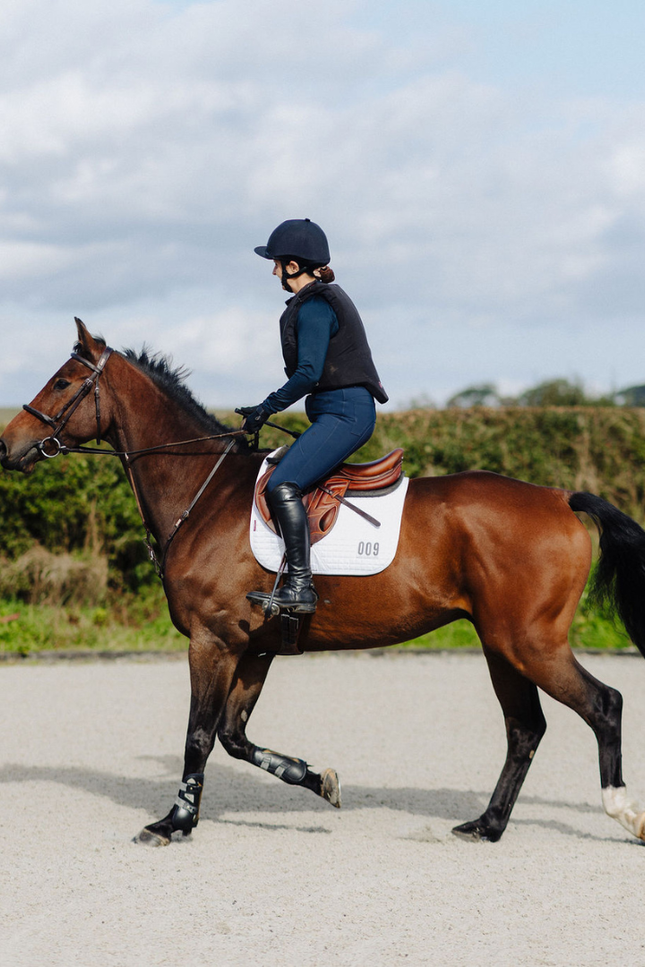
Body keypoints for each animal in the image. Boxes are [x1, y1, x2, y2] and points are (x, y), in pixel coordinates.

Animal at [3, 318, 645, 847]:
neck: (203, 493)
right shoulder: (253, 647)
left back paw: (623, 814)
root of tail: (559, 496)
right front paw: (319, 780)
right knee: (524, 728)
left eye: (62, 383)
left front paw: (174, 822)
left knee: (602, 704)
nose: (6, 446)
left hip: (528, 641)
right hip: (499, 644)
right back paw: (486, 825)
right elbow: (234, 736)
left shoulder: (213, 642)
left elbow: (199, 735)